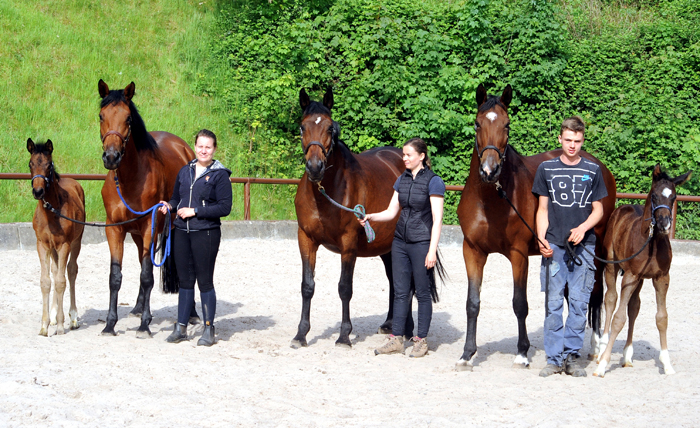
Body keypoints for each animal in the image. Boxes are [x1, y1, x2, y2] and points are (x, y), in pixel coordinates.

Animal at [27, 139, 85, 336]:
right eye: (31, 164)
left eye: (48, 165)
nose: (38, 191)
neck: (51, 212)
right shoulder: (42, 245)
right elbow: (46, 281)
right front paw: (45, 325)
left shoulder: (64, 245)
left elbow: (61, 281)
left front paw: (60, 325)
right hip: (53, 248)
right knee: (55, 270)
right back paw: (53, 315)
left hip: (76, 242)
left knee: (71, 270)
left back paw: (73, 318)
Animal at [97, 78, 193, 336]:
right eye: (101, 116)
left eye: (128, 118)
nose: (111, 157)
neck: (130, 179)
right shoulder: (115, 229)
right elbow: (115, 276)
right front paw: (110, 324)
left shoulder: (150, 226)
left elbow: (148, 275)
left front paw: (144, 325)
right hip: (137, 234)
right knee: (142, 260)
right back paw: (138, 307)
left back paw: (192, 314)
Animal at [292, 88, 410, 348]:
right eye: (303, 127)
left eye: (329, 128)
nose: (315, 167)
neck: (324, 194)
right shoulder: (306, 239)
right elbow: (307, 286)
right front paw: (301, 334)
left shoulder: (348, 245)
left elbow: (345, 288)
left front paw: (344, 335)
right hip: (386, 246)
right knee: (394, 280)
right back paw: (389, 324)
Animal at [456, 84, 616, 372]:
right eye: (477, 124)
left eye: (507, 125)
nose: (489, 171)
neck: (491, 199)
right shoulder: (472, 251)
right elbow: (472, 303)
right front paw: (467, 354)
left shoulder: (518, 254)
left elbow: (520, 303)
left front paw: (522, 353)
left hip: (595, 250)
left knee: (595, 294)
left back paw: (597, 347)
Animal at [592, 166, 692, 376]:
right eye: (654, 195)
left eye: (674, 197)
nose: (664, 224)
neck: (652, 242)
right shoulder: (629, 276)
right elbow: (618, 318)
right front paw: (603, 364)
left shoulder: (661, 278)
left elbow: (662, 318)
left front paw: (667, 363)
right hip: (612, 267)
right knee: (610, 300)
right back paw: (602, 348)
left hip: (640, 279)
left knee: (634, 306)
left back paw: (627, 355)